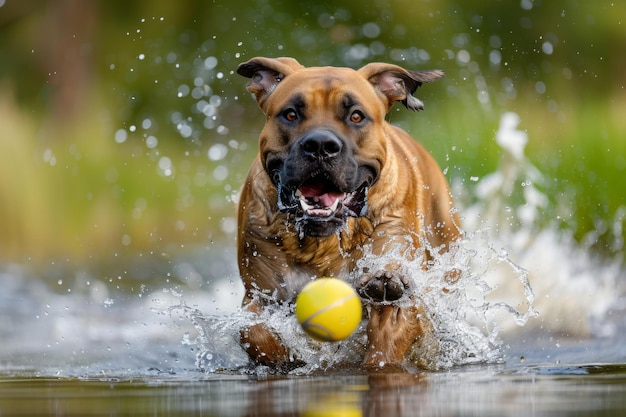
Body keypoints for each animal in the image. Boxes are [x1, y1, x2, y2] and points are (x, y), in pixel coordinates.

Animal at [234, 56, 458, 368]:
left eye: (356, 117)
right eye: (290, 114)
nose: (320, 145)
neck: (321, 243)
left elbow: (387, 343)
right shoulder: (260, 294)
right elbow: (253, 332)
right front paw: (288, 357)